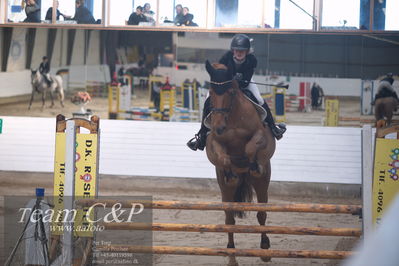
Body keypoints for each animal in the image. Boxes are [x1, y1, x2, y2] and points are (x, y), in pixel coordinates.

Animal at [205, 60, 276, 264]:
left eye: (230, 92)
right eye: (211, 92)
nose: (219, 127)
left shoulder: (260, 134)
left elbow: (251, 147)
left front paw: (252, 165)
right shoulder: (214, 142)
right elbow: (223, 157)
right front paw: (231, 173)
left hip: (262, 184)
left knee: (262, 214)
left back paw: (265, 248)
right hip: (225, 192)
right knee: (229, 220)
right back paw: (231, 256)